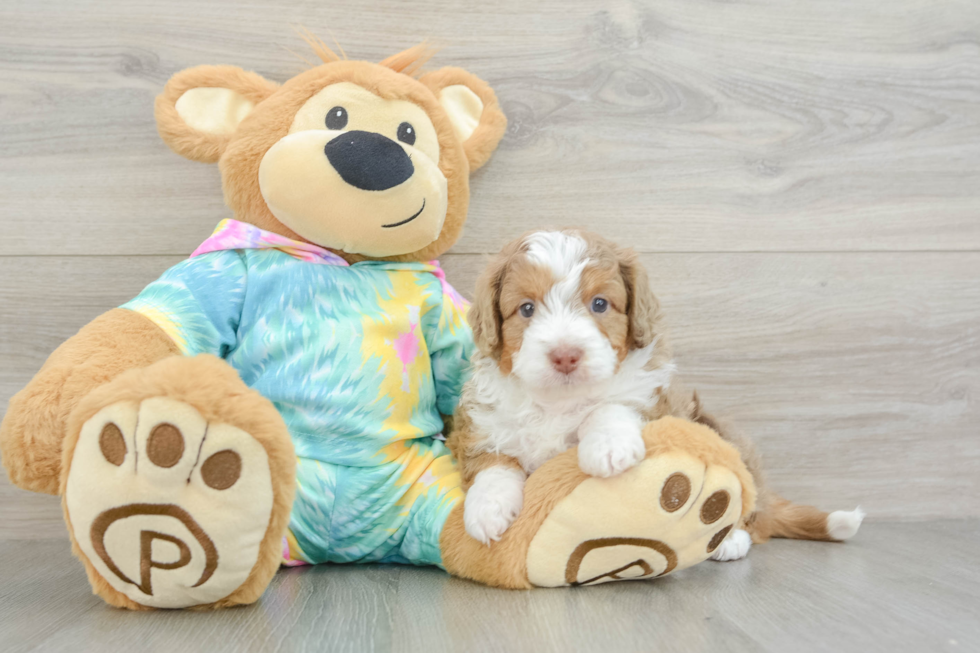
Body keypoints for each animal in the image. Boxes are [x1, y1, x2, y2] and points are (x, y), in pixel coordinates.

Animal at [446, 228, 864, 556]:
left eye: (600, 304)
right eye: (527, 309)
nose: (565, 355)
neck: (559, 401)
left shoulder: (654, 398)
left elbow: (611, 404)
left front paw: (607, 447)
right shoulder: (481, 424)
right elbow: (492, 463)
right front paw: (486, 509)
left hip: (720, 434)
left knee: (752, 513)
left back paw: (730, 540)